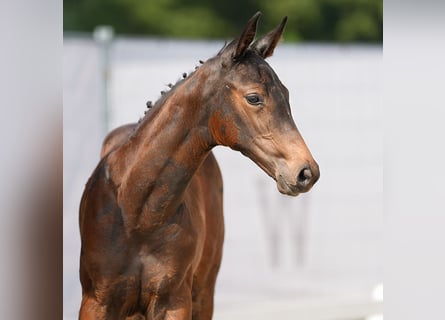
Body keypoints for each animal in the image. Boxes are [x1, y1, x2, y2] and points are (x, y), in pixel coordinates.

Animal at [78, 12, 318, 320]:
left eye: (286, 95)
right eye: (254, 97)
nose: (306, 172)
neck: (136, 212)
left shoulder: (175, 301)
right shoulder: (96, 301)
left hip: (204, 292)